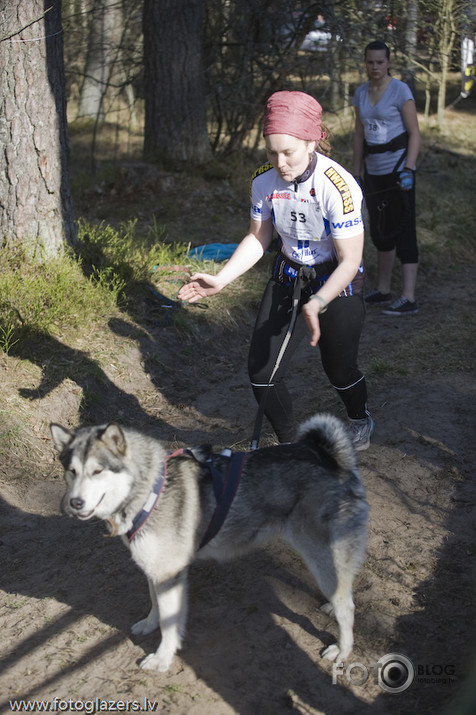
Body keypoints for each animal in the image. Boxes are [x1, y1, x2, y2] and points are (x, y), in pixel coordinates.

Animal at [50, 414, 368, 672]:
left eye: (98, 471)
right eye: (72, 471)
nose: (74, 503)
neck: (148, 490)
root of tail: (334, 459)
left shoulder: (169, 575)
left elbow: (169, 624)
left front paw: (162, 659)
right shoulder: (155, 570)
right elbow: (156, 607)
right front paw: (150, 625)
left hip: (321, 556)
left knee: (348, 606)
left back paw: (342, 649)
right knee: (344, 589)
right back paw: (331, 606)